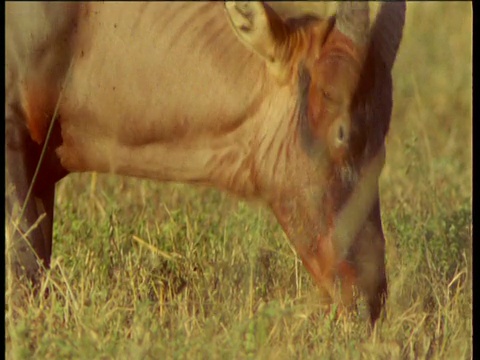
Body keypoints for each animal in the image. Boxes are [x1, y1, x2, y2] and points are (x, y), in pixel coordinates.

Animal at [6, 1, 404, 324]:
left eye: (383, 135)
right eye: (342, 132)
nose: (369, 302)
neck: (82, 21)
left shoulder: (42, 178)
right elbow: (27, 268)